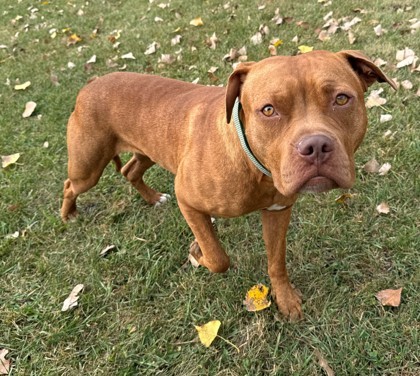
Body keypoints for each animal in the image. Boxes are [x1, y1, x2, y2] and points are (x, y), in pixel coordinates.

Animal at [60, 50, 396, 320]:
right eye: (269, 110)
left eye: (341, 99)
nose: (315, 146)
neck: (256, 168)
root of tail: (90, 84)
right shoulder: (188, 200)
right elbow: (219, 259)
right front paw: (198, 253)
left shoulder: (278, 212)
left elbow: (276, 261)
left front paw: (285, 298)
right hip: (87, 167)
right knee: (69, 184)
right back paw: (68, 214)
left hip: (147, 151)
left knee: (130, 171)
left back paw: (152, 198)